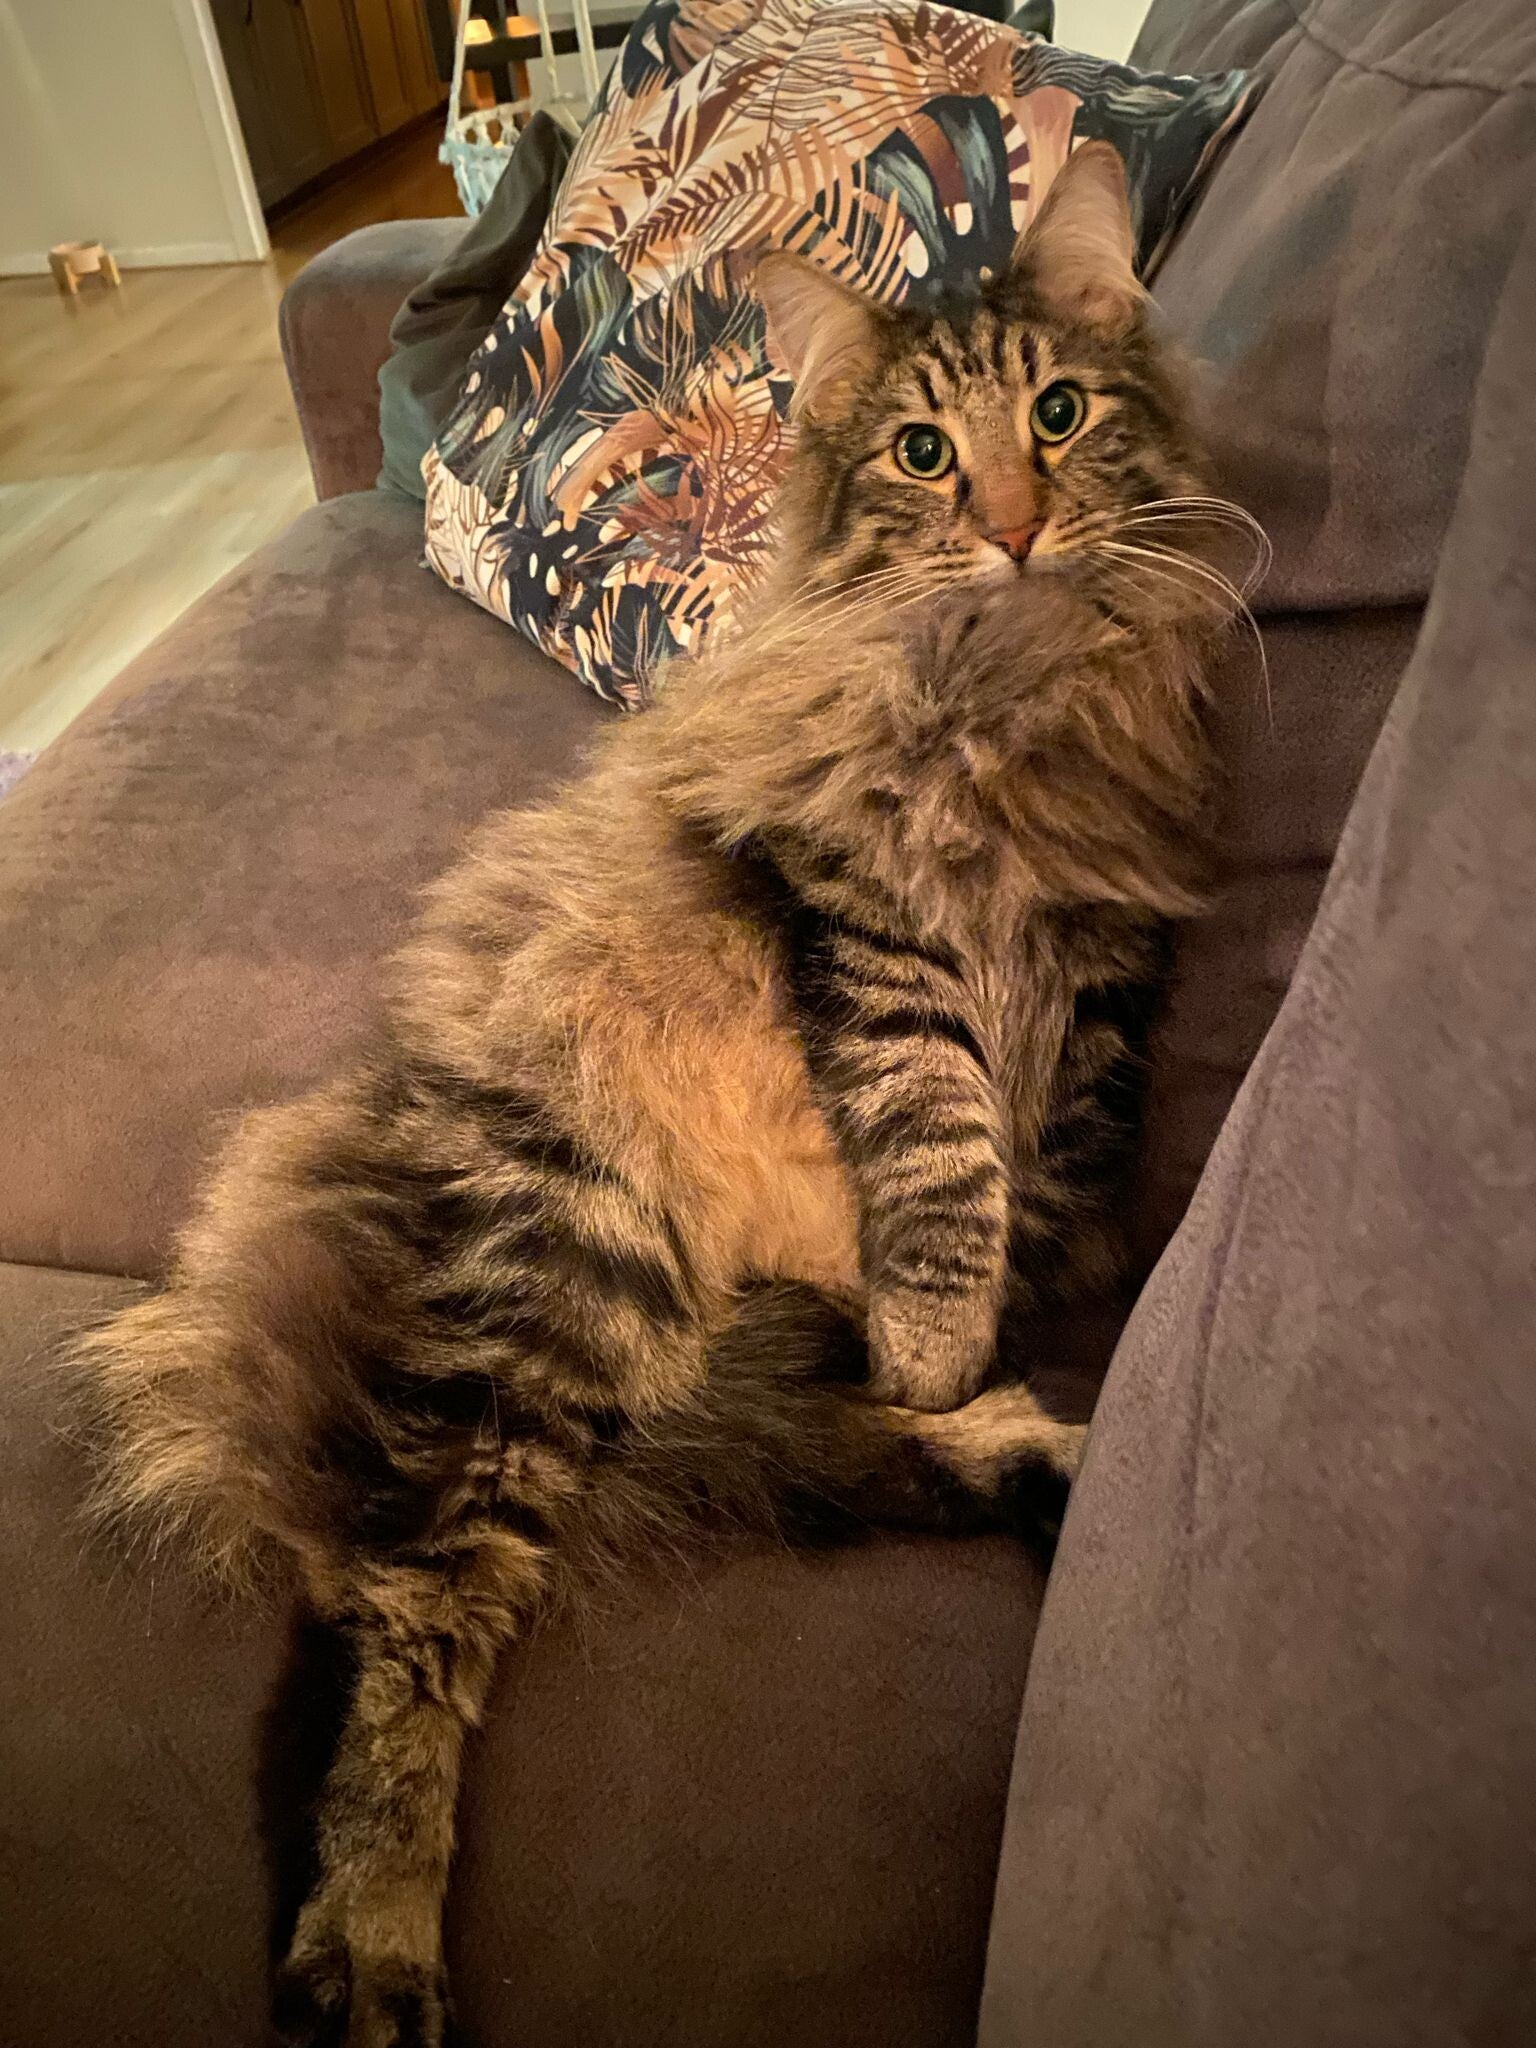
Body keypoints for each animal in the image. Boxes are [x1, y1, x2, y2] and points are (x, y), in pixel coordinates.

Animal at [76, 142, 1249, 2048]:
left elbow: (1067, 1151)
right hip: (571, 1273)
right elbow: (945, 1161)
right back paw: (373, 1936)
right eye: (924, 454)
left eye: (1058, 416)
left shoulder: (1109, 954)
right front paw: (957, 1323)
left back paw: (1026, 1454)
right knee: (419, 1605)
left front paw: (1023, 1306)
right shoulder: (865, 925)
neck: (1009, 689)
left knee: (797, 1454)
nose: (1013, 522)